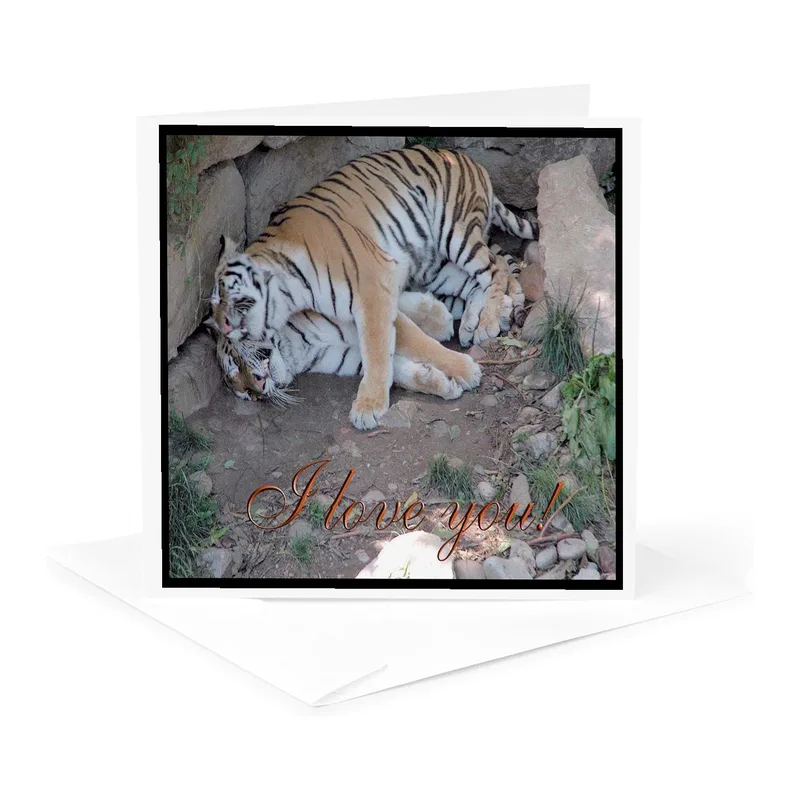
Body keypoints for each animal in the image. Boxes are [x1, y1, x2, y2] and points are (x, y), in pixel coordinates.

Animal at [212, 145, 537, 429]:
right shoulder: (344, 353)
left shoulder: (371, 291)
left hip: (456, 232)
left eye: (237, 359)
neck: (295, 345)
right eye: (241, 390)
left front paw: (463, 371)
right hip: (434, 264)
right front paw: (440, 381)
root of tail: (467, 159)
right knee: (482, 277)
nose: (255, 390)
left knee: (495, 268)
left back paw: (489, 321)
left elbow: (387, 348)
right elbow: (391, 366)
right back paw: (477, 320)